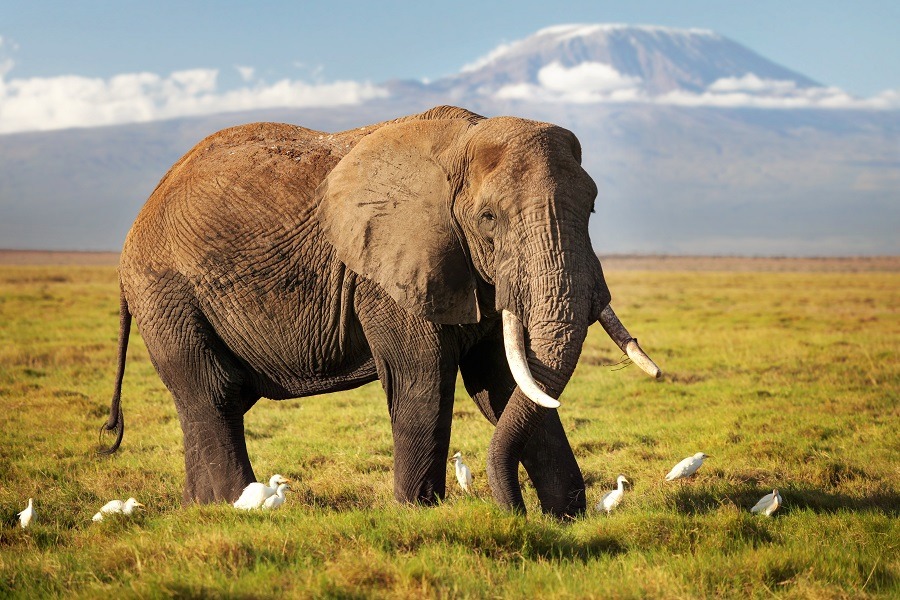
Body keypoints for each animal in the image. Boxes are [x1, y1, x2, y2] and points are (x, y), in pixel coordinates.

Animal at [98, 105, 660, 516]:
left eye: (591, 209)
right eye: (488, 218)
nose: (514, 510)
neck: (463, 142)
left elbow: (507, 382)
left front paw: (566, 519)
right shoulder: (388, 274)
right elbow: (424, 378)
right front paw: (419, 516)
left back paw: (200, 508)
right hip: (167, 294)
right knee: (211, 392)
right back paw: (229, 507)